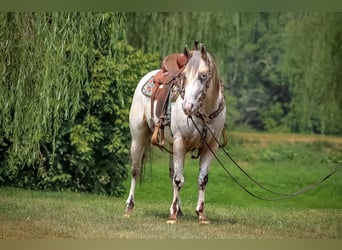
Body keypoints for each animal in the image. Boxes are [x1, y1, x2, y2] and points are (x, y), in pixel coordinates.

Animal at [124, 42, 226, 224]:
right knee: (136, 170)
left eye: (203, 75)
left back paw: (178, 209)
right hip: (138, 137)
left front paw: (201, 214)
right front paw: (172, 216)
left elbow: (202, 179)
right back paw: (129, 208)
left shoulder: (210, 147)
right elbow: (179, 179)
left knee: (172, 173)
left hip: (172, 146)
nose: (187, 107)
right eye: (183, 76)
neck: (204, 113)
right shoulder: (180, 142)